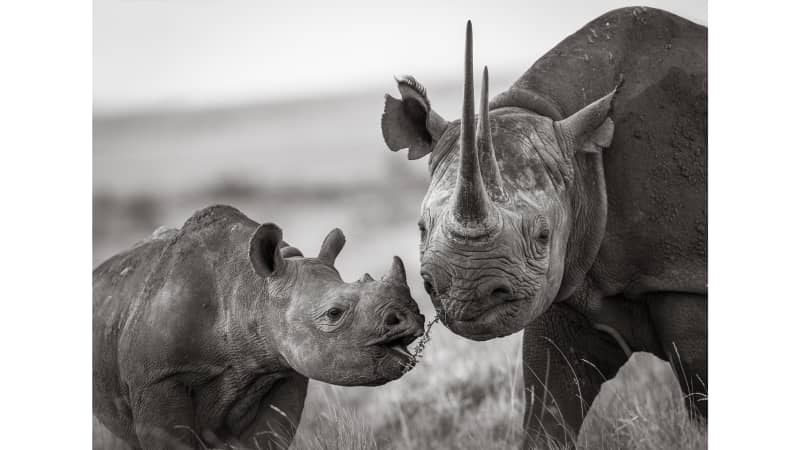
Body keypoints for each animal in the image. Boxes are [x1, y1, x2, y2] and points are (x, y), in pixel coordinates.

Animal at [94, 207, 424, 450]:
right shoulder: (158, 378)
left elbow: (267, 437)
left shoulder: (282, 369)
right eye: (334, 313)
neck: (250, 290)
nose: (410, 318)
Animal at [378, 7, 704, 446]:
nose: (466, 295)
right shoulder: (566, 277)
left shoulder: (683, 276)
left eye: (542, 235)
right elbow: (548, 403)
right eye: (421, 229)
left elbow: (701, 401)